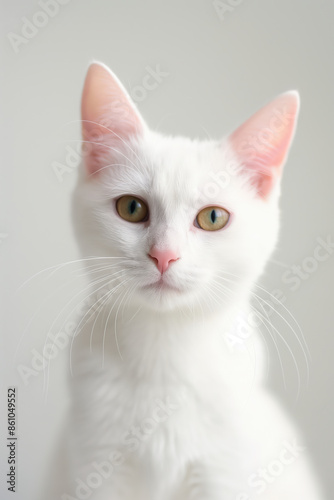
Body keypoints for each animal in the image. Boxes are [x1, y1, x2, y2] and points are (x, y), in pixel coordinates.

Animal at [58, 62, 326, 500]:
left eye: (213, 217)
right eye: (131, 208)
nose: (164, 255)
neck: (165, 356)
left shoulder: (223, 469)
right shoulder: (97, 465)